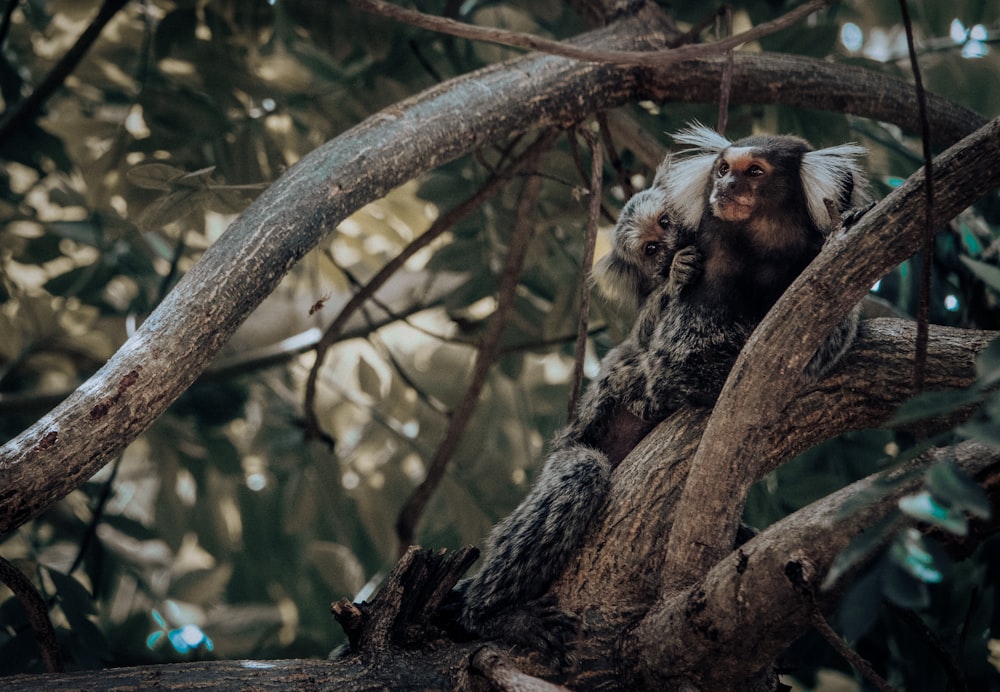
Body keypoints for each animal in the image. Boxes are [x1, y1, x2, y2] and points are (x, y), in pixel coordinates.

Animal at [458, 124, 868, 660]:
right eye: (723, 169)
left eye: (753, 171)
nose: (725, 187)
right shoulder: (698, 278)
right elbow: (676, 360)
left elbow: (824, 332)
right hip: (571, 452)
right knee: (578, 472)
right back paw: (495, 614)